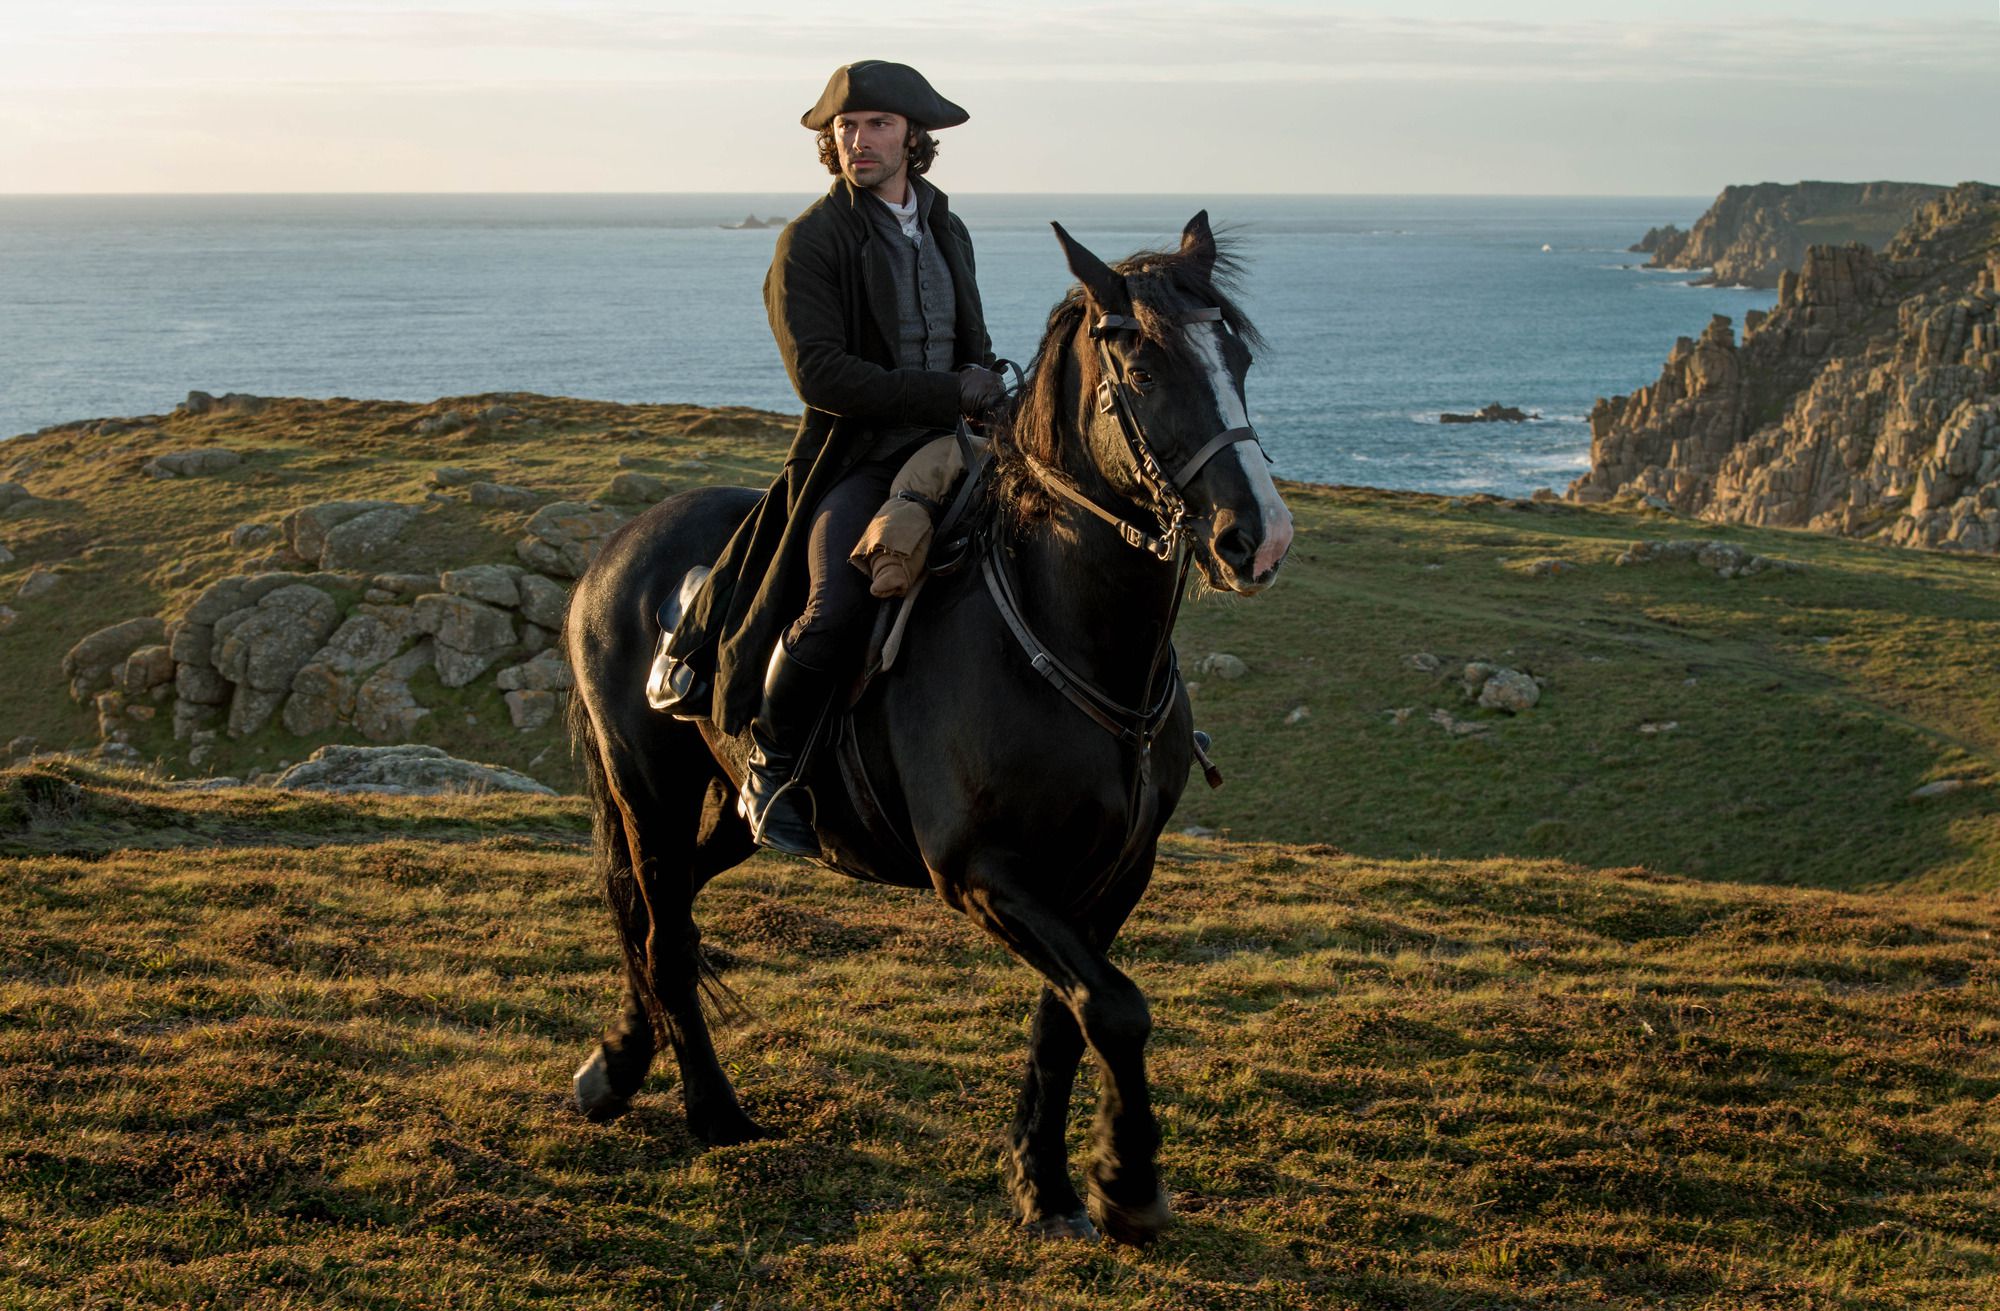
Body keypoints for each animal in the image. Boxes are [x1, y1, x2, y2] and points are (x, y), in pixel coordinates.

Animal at [560, 209, 1296, 1247]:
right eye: (1145, 372)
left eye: (1236, 357)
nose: (1257, 538)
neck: (1059, 627)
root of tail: (616, 554)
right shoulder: (979, 871)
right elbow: (1115, 1007)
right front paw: (1130, 1184)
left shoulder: (1113, 874)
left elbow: (1068, 1015)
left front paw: (1048, 1184)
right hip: (648, 789)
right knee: (660, 929)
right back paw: (714, 1112)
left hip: (730, 812)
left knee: (665, 913)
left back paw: (616, 1069)